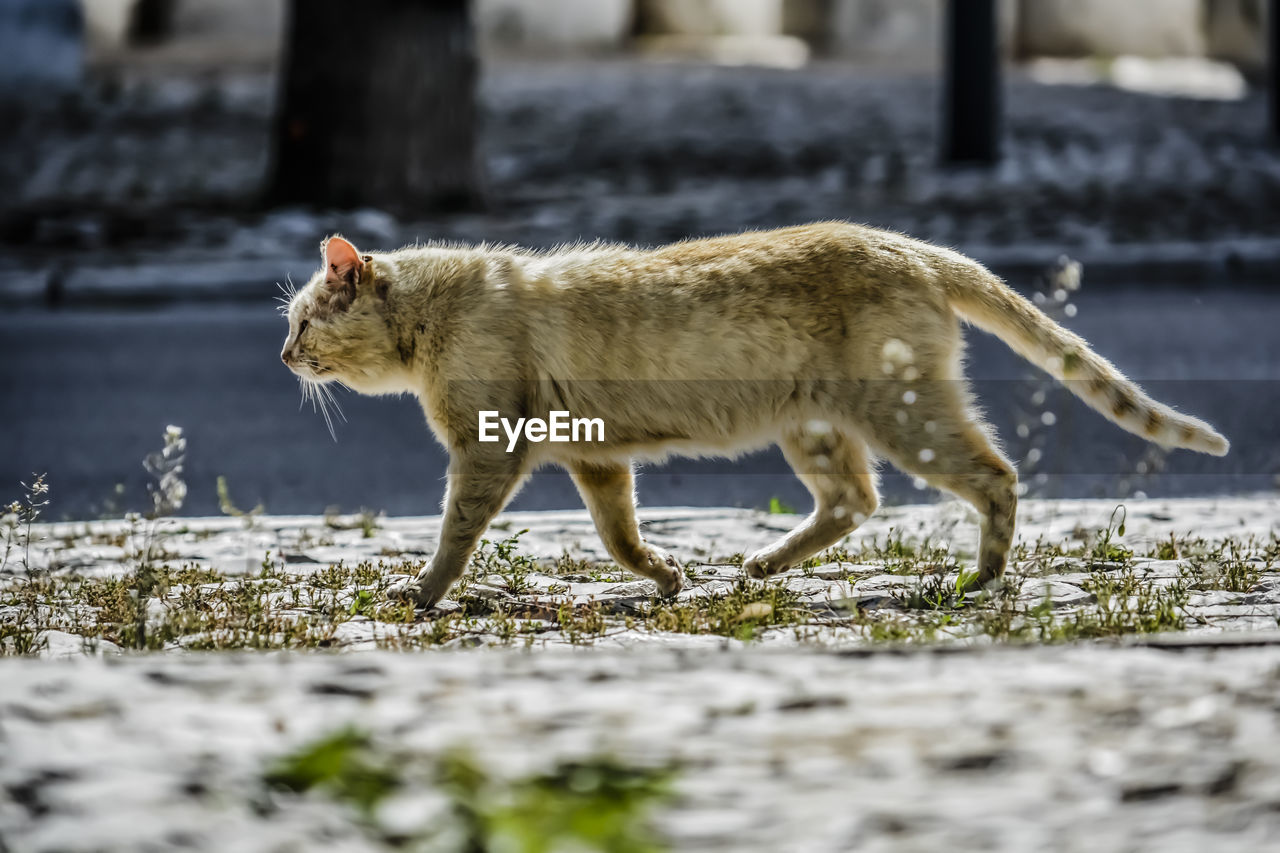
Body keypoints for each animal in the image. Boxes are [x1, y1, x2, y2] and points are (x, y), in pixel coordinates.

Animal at [282, 219, 1228, 604]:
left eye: (300, 320)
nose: (284, 356)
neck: (436, 310)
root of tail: (913, 245)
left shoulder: (488, 449)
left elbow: (455, 533)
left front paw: (421, 593)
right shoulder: (595, 456)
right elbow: (619, 536)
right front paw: (667, 577)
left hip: (905, 414)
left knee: (995, 475)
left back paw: (977, 580)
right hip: (815, 425)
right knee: (855, 499)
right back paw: (763, 567)